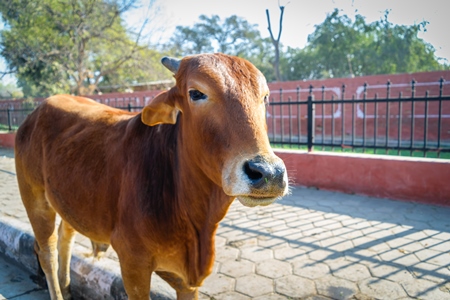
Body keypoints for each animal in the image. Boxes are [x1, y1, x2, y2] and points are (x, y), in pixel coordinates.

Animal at [14, 52, 288, 298]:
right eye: (196, 93)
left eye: (265, 97)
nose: (269, 172)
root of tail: (36, 111)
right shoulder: (133, 265)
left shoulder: (187, 281)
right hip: (34, 198)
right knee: (47, 252)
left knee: (66, 236)